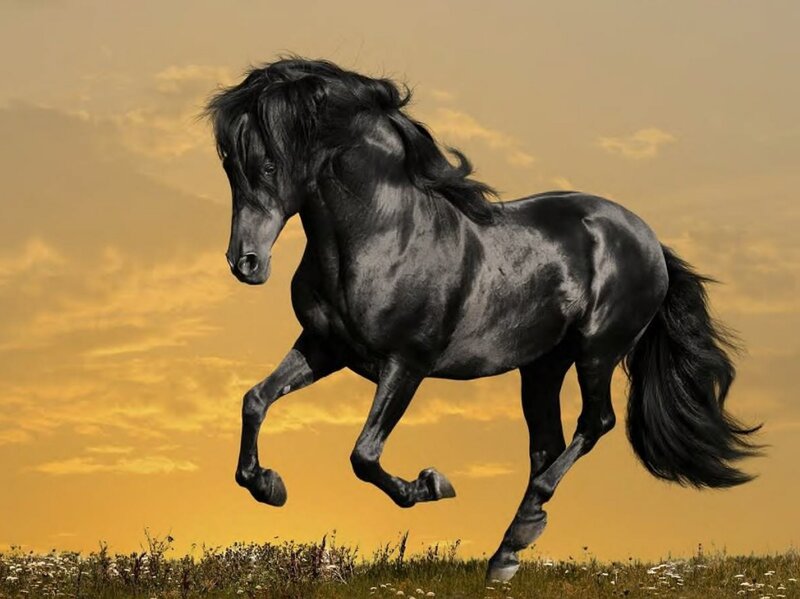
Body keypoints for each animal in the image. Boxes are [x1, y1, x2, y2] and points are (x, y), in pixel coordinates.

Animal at [204, 57, 760, 582]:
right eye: (229, 165)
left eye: (269, 165)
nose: (245, 263)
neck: (384, 236)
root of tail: (648, 240)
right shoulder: (325, 347)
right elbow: (255, 400)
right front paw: (269, 486)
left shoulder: (406, 364)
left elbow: (364, 455)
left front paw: (431, 484)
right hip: (542, 367)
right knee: (547, 445)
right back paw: (507, 553)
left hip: (597, 352)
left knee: (594, 423)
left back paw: (522, 529)